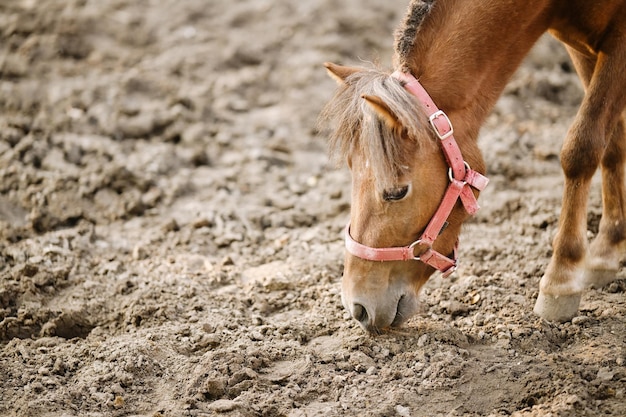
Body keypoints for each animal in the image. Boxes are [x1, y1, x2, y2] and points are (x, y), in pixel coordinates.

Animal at [320, 0, 624, 332]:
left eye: (397, 192)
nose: (357, 307)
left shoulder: (616, 43)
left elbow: (582, 149)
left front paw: (561, 280)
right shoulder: (582, 48)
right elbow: (613, 146)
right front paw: (609, 250)